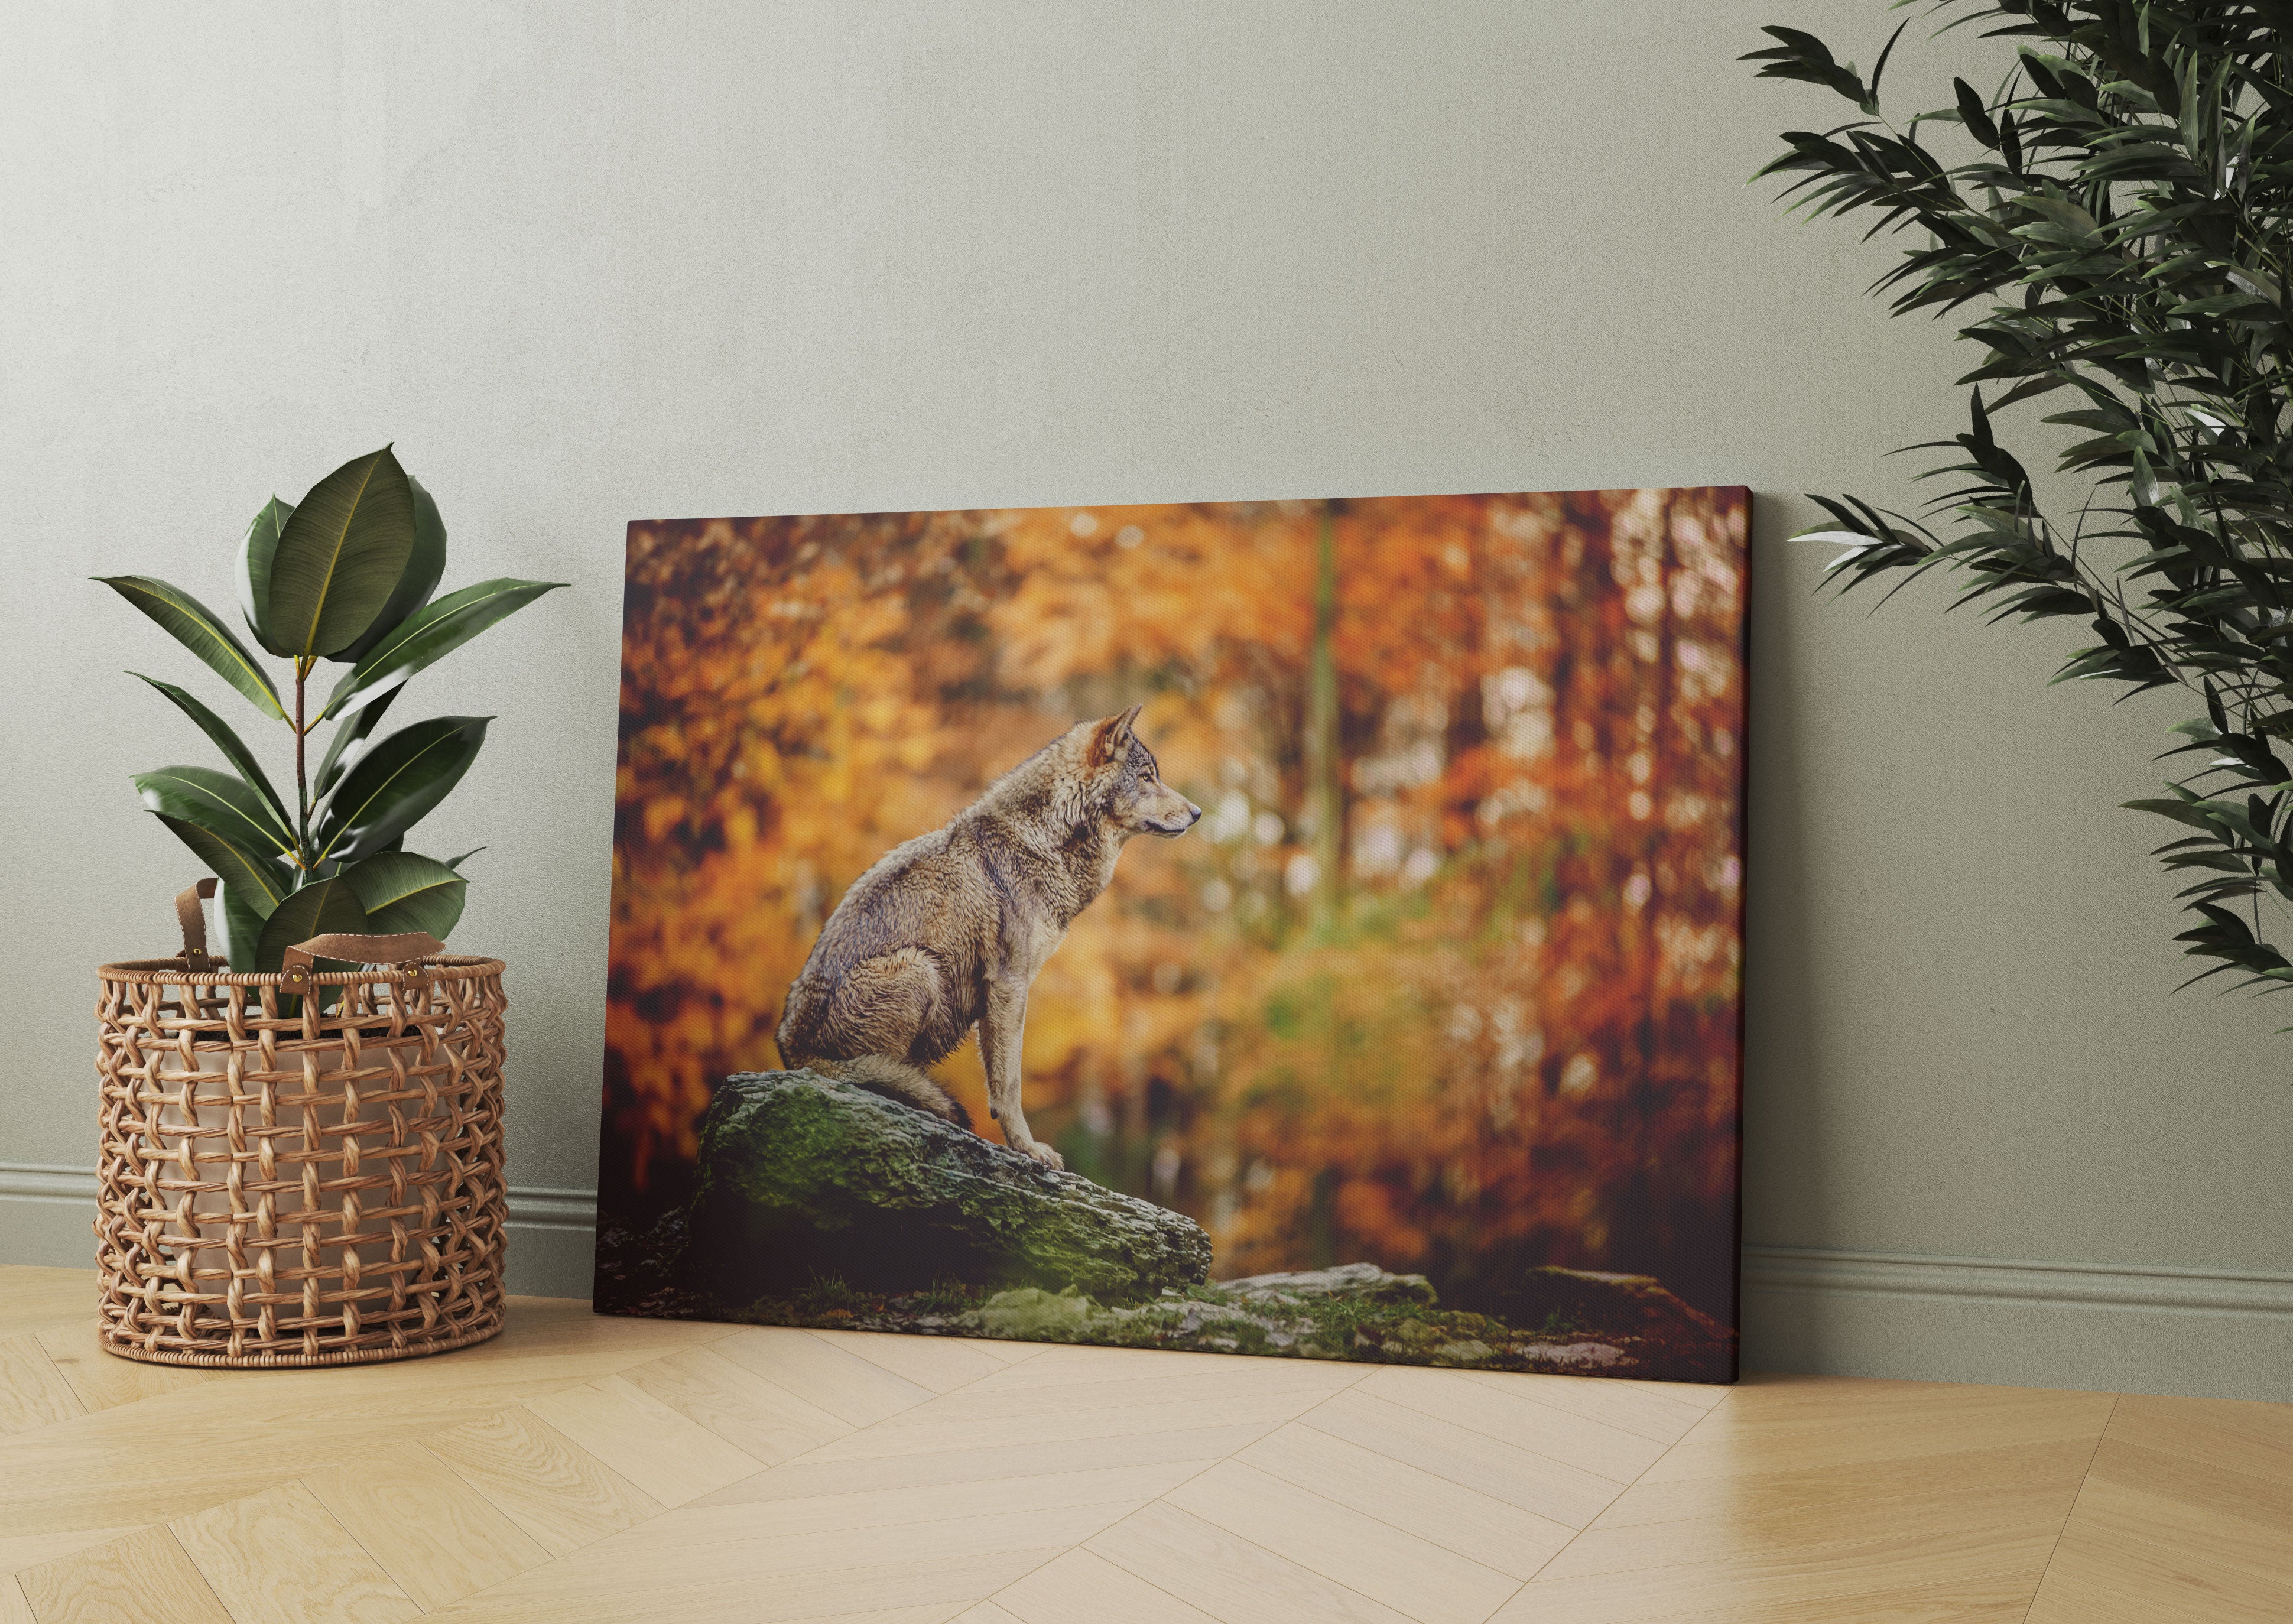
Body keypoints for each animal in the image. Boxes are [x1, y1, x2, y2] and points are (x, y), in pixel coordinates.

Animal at [775, 701, 1201, 1165]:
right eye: (1147, 777)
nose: (1198, 813)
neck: (1043, 841)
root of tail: (792, 1049)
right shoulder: (1008, 983)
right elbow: (1009, 1085)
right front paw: (1029, 1149)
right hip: (920, 968)